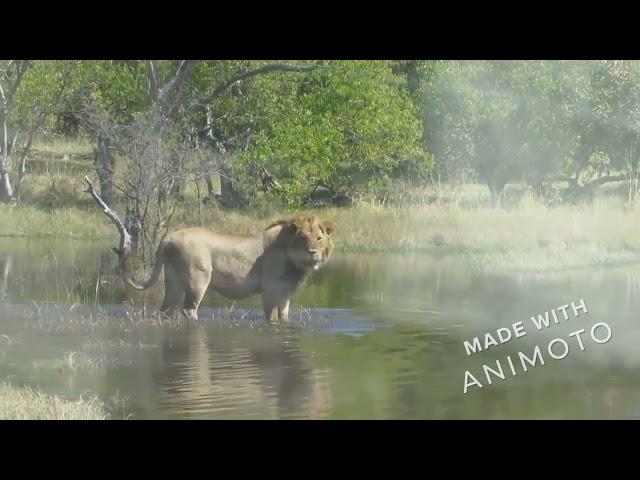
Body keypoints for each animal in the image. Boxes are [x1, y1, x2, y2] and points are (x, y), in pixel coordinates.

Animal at [123, 215, 338, 322]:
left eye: (319, 238)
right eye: (303, 238)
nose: (312, 252)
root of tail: (168, 238)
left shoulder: (285, 294)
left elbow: (283, 316)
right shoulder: (269, 290)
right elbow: (270, 317)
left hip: (173, 280)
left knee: (167, 309)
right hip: (198, 280)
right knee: (189, 309)